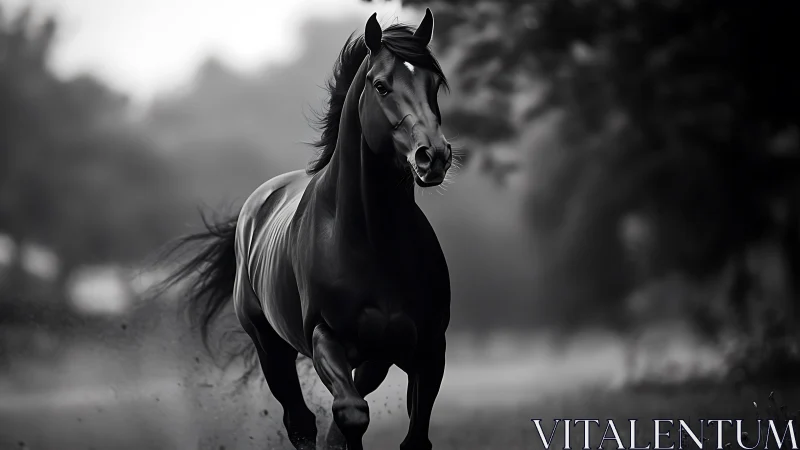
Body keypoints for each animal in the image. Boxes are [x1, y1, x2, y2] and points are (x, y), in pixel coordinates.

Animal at [160, 9, 453, 450]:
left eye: (434, 83)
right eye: (381, 85)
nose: (433, 156)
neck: (374, 240)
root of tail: (254, 210)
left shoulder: (428, 350)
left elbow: (411, 436)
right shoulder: (325, 338)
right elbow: (350, 415)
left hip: (376, 358)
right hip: (270, 348)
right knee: (302, 421)